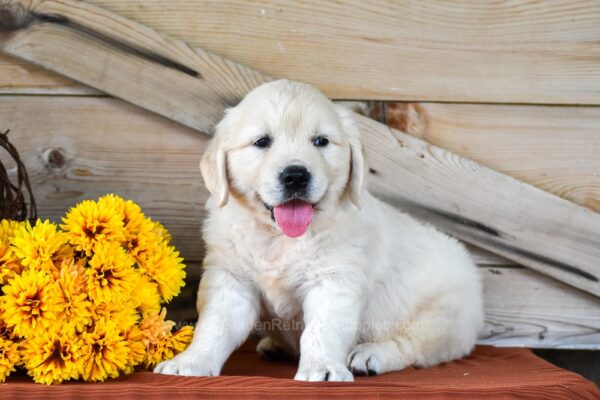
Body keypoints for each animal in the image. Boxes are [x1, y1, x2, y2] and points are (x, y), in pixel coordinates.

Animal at [154, 79, 482, 382]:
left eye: (321, 141)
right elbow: (215, 324)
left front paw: (322, 368)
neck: (279, 239)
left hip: (443, 315)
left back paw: (370, 355)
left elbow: (322, 329)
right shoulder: (229, 278)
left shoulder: (334, 280)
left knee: (411, 347)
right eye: (262, 141)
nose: (295, 176)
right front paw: (191, 361)